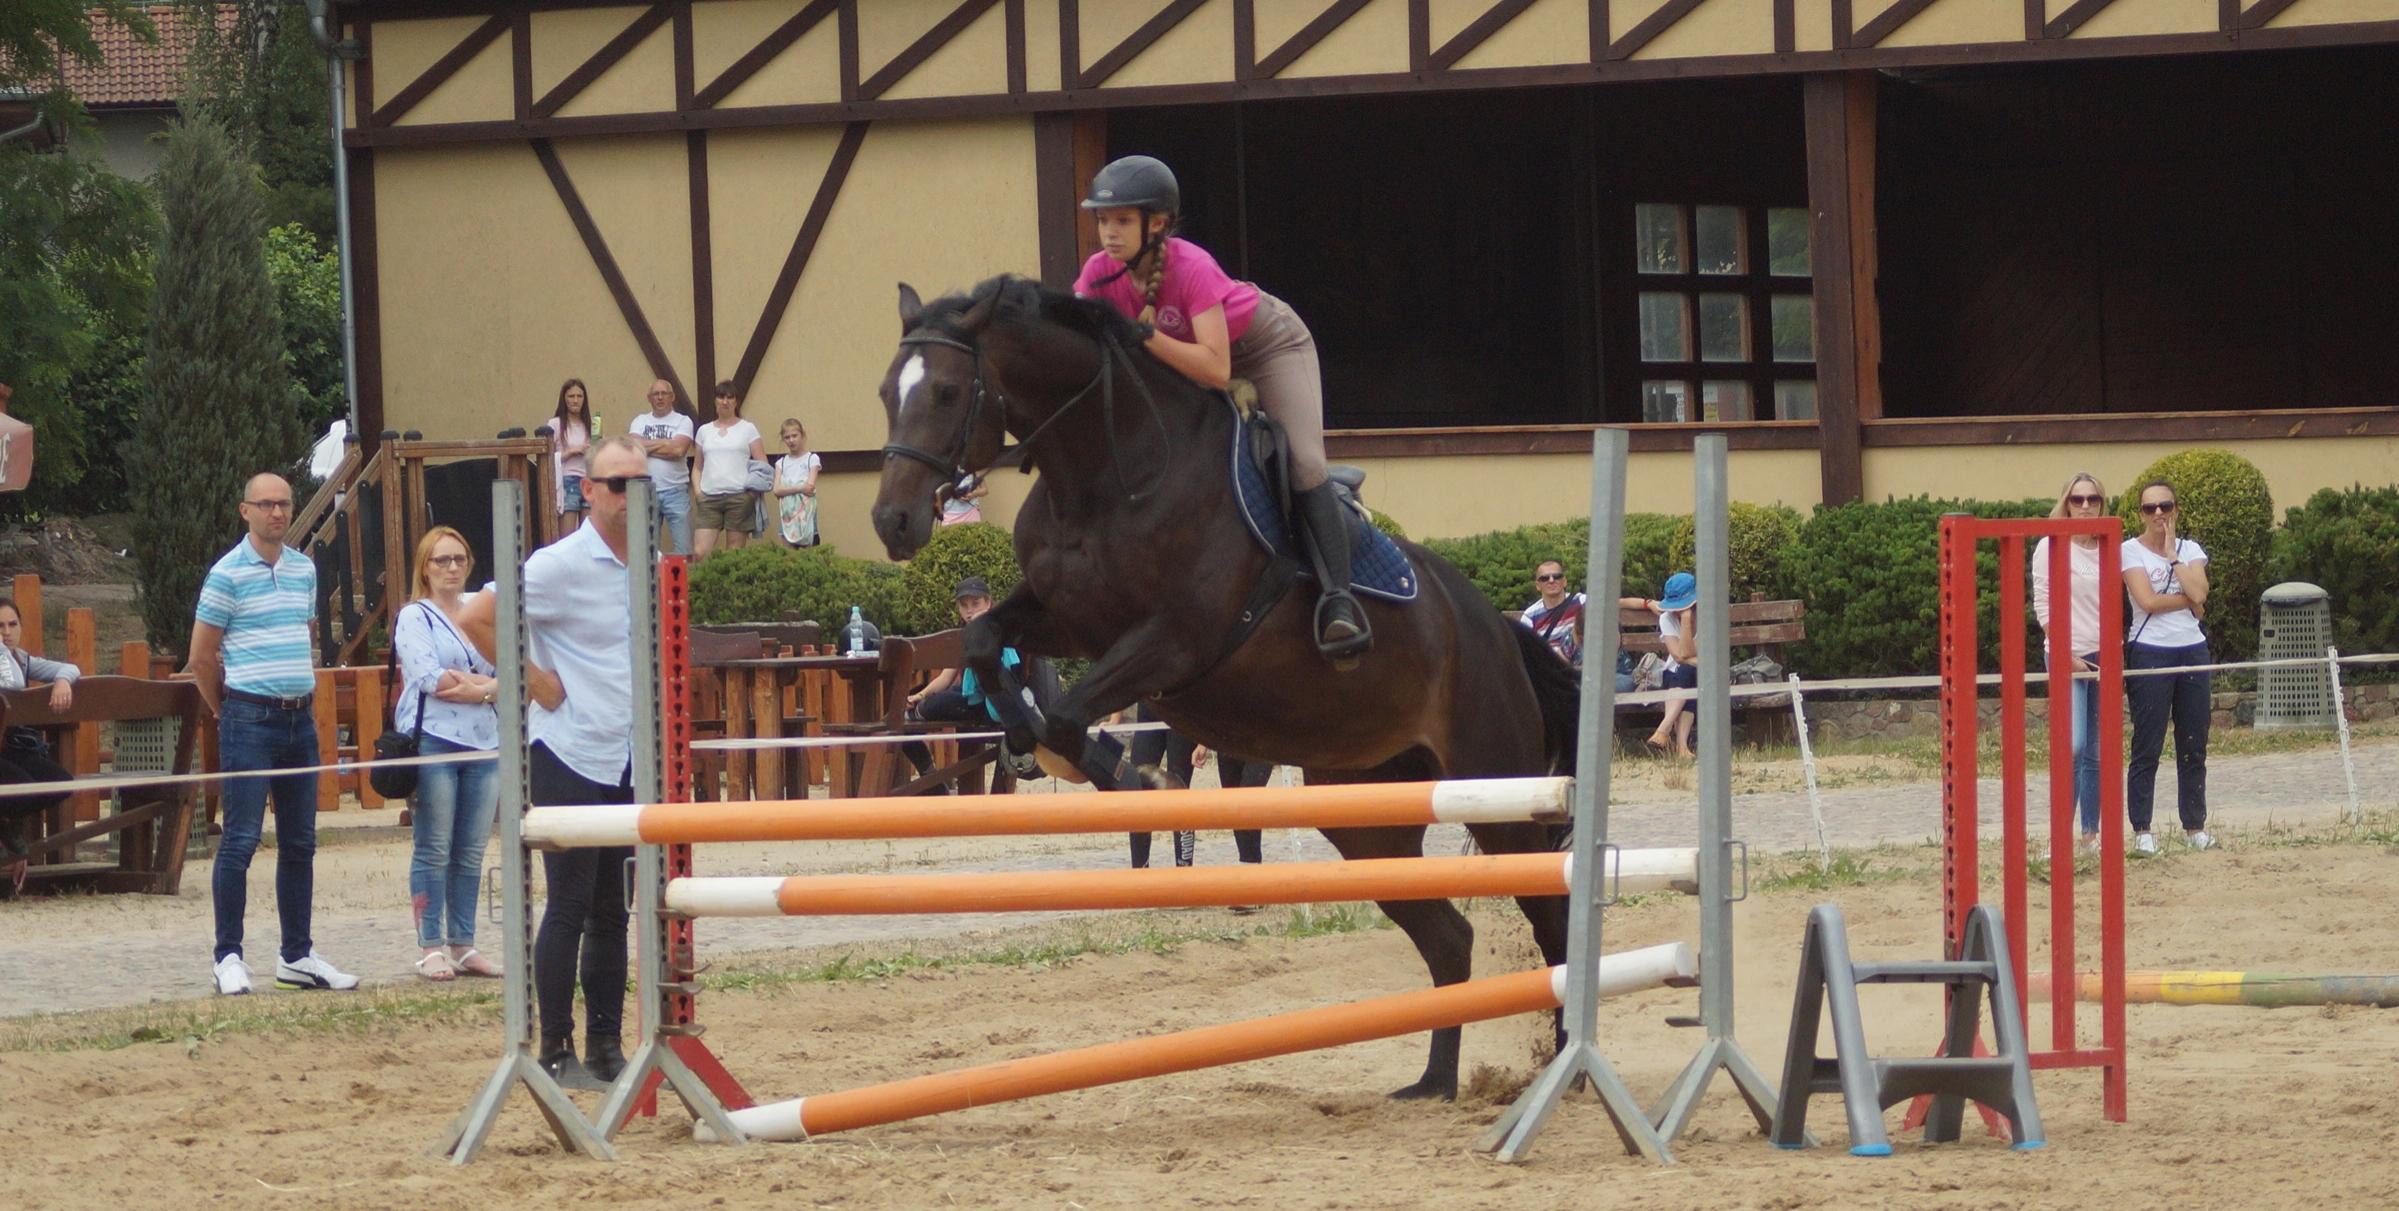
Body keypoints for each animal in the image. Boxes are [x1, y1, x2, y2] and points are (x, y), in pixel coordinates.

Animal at [869, 275, 1582, 1100]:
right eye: (887, 391)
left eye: (948, 391)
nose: (892, 520)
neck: (1106, 473)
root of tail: (1498, 627)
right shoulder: (1069, 622)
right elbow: (989, 642)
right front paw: (1021, 742)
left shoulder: (1175, 641)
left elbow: (1069, 714)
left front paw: (1125, 774)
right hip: (1367, 809)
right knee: (1449, 938)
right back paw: (1434, 1080)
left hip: (1495, 781)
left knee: (1551, 918)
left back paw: (1565, 1065)